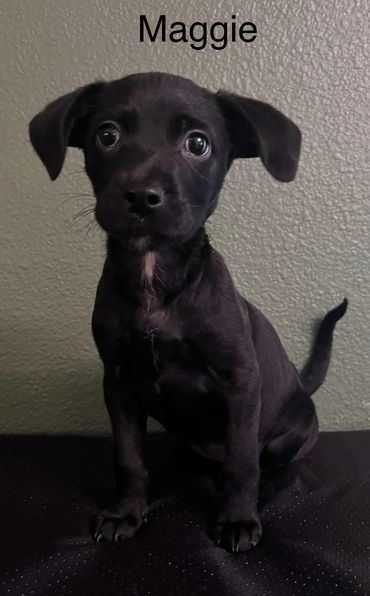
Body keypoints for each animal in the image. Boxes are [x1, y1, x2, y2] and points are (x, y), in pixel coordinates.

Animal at [29, 72, 346, 552]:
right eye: (107, 135)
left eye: (198, 144)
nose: (142, 196)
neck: (155, 282)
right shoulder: (118, 382)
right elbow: (128, 457)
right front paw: (125, 512)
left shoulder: (240, 382)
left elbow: (241, 462)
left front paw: (237, 519)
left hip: (289, 434)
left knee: (262, 459)